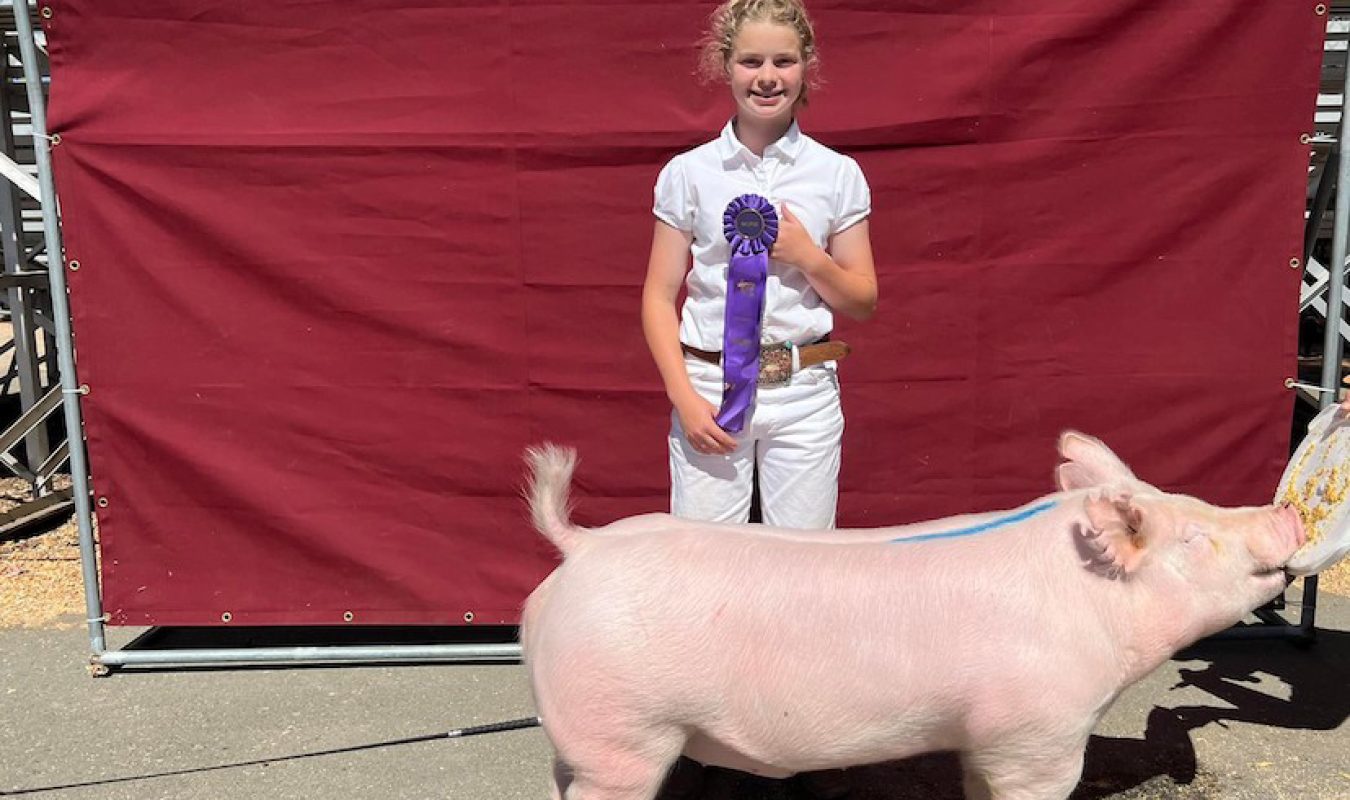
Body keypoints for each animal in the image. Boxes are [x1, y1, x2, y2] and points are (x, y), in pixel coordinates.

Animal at [518, 431, 1306, 798]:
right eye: (1194, 537)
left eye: (1192, 500)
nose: (1287, 512)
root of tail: (582, 545)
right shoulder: (1040, 734)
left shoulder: (988, 742)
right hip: (625, 731)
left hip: (587, 738)